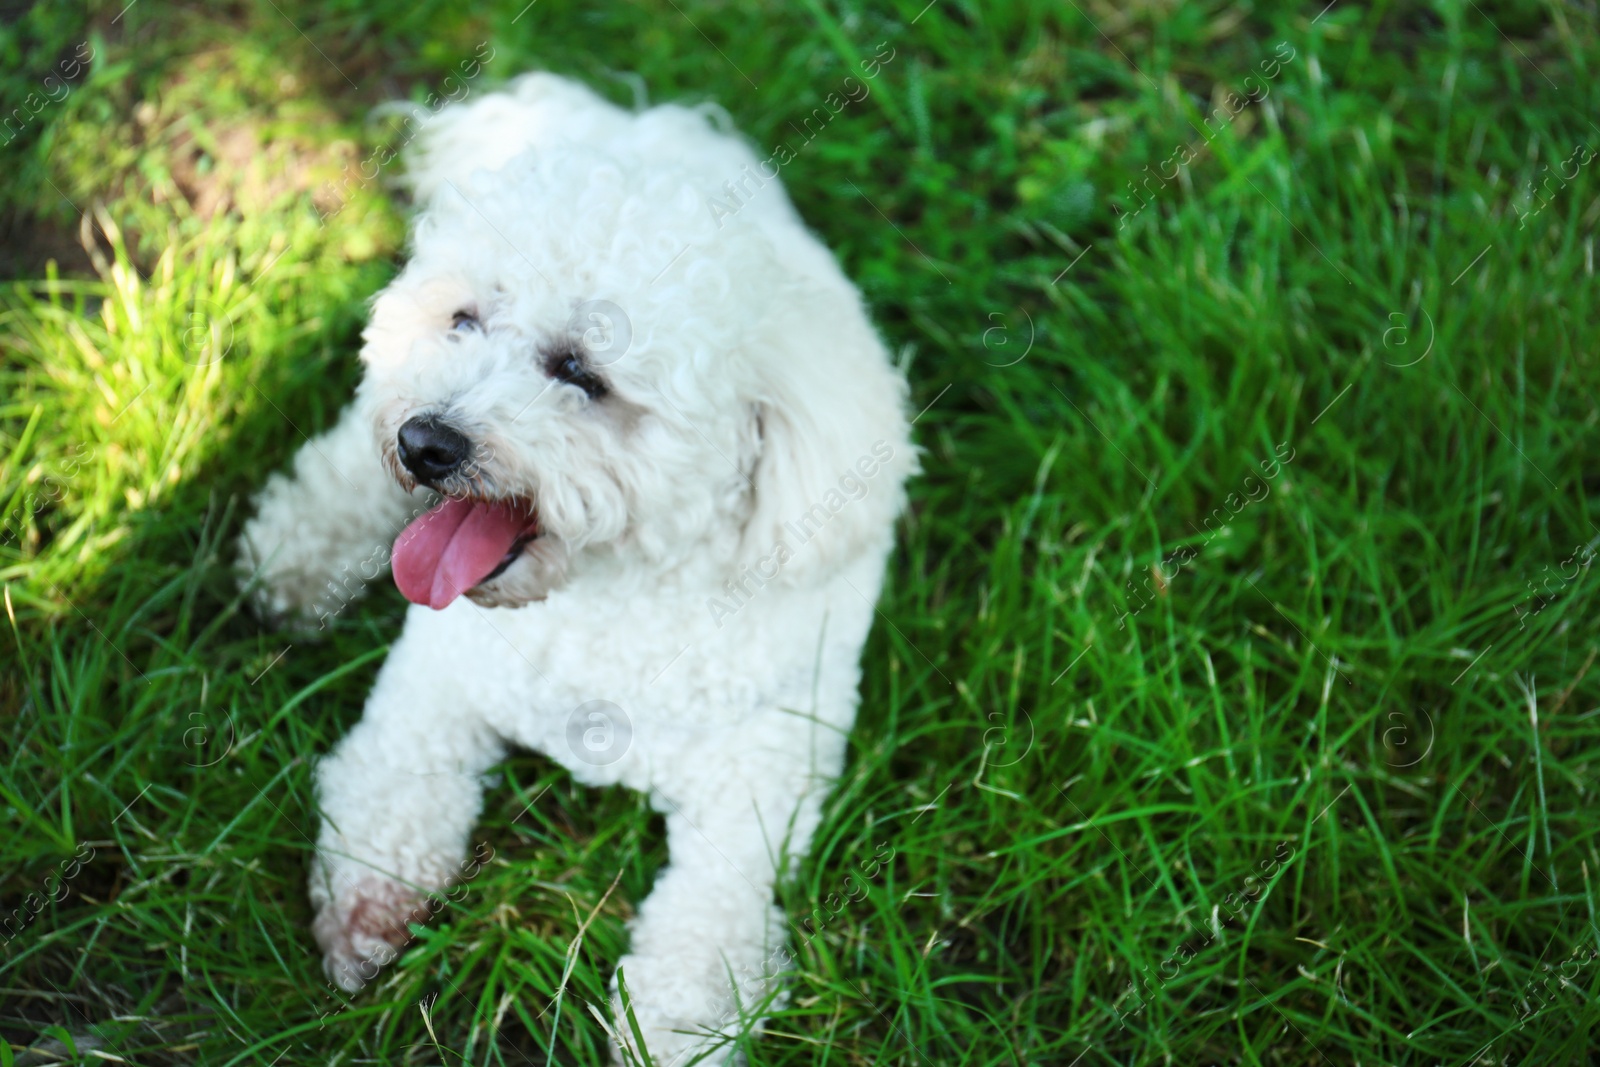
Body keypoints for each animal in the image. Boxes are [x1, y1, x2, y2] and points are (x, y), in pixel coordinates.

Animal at [235, 70, 915, 1062]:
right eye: (464, 318)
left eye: (582, 373)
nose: (425, 442)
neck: (607, 603)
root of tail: (636, 121)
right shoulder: (434, 686)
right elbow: (395, 783)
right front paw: (369, 906)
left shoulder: (761, 781)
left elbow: (713, 906)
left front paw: (677, 1024)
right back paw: (296, 555)